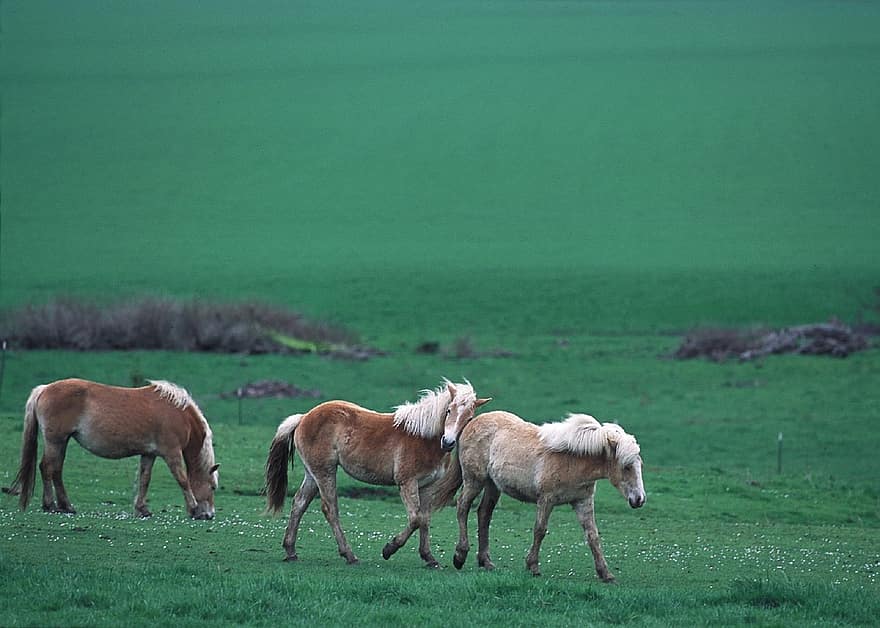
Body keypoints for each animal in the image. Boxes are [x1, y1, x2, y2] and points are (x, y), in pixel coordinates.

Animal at [8, 378, 220, 520]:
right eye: (212, 487)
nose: (210, 515)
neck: (178, 414)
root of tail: (44, 389)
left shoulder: (149, 454)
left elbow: (144, 480)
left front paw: (142, 509)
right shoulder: (172, 453)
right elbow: (182, 480)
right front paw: (194, 509)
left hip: (61, 442)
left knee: (56, 470)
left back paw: (66, 505)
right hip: (55, 441)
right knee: (47, 468)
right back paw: (50, 505)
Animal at [264, 380, 492, 568]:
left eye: (469, 417)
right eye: (449, 410)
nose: (448, 442)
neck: (423, 437)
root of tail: (303, 417)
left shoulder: (427, 487)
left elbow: (424, 519)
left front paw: (429, 557)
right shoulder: (407, 483)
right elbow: (415, 519)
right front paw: (389, 549)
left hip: (312, 474)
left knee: (299, 504)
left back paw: (291, 551)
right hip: (325, 472)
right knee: (330, 509)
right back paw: (349, 555)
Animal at [434, 410, 648, 580]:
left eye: (639, 465)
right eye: (626, 467)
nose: (639, 499)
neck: (573, 460)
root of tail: (471, 422)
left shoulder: (583, 502)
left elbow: (593, 535)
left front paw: (605, 573)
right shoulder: (546, 500)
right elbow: (540, 530)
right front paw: (533, 566)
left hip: (492, 485)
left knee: (484, 514)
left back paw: (485, 561)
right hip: (474, 481)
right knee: (462, 507)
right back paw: (460, 555)